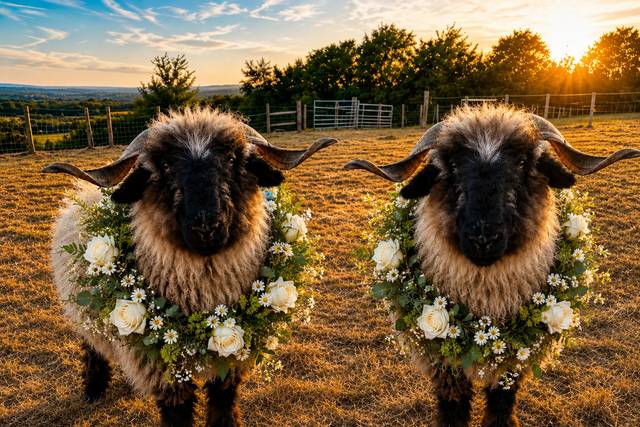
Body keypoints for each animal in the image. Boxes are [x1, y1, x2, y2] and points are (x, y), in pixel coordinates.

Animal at [43, 107, 336, 427]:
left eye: (231, 160)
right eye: (166, 166)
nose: (206, 226)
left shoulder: (230, 358)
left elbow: (222, 403)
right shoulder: (164, 372)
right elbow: (177, 414)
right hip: (83, 314)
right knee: (92, 347)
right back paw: (93, 389)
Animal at [345, 104, 640, 427]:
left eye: (523, 163)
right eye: (452, 166)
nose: (483, 237)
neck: (485, 302)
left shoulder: (515, 358)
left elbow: (501, 402)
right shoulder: (442, 361)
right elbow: (454, 407)